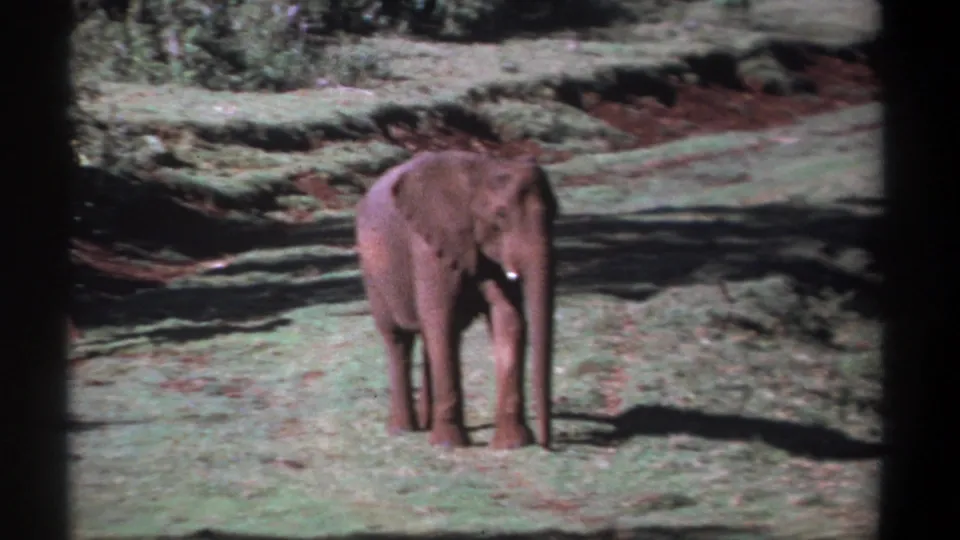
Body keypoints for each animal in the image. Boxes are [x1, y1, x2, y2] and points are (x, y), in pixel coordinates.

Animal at [354, 150, 559, 450]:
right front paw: (448, 445)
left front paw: (512, 444)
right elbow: (441, 321)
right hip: (373, 273)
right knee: (399, 339)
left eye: (556, 213)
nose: (547, 444)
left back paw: (425, 424)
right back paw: (403, 430)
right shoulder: (428, 244)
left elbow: (508, 319)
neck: (483, 170)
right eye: (500, 214)